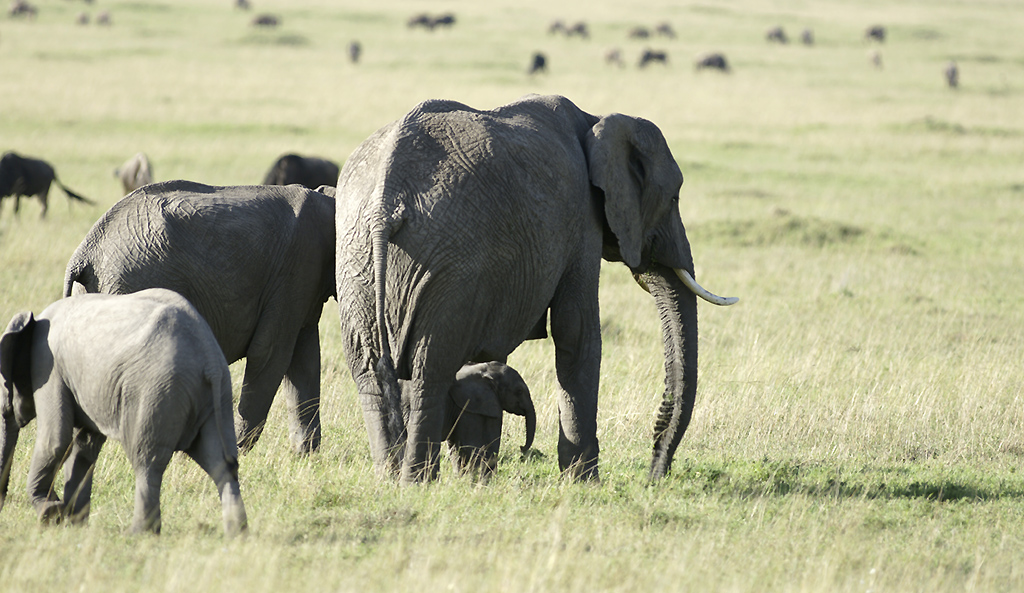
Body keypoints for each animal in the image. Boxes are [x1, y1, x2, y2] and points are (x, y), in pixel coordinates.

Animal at [0, 288, 245, 536]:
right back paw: (236, 534)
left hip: (156, 392)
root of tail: (209, 359)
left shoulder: (46, 364)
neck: (35, 320)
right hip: (217, 397)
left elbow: (55, 440)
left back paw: (138, 534)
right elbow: (84, 446)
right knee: (221, 463)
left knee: (146, 459)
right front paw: (75, 523)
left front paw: (51, 515)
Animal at [62, 181, 335, 454]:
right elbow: (269, 353)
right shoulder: (296, 270)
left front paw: (307, 455)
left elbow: (305, 357)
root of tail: (83, 254)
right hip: (134, 284)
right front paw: (238, 453)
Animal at [335, 92, 737, 483]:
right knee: (430, 367)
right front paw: (583, 482)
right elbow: (576, 330)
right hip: (446, 265)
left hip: (358, 262)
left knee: (370, 369)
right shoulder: (582, 219)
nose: (655, 476)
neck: (595, 120)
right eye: (674, 198)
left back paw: (390, 480)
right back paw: (415, 483)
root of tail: (385, 202)